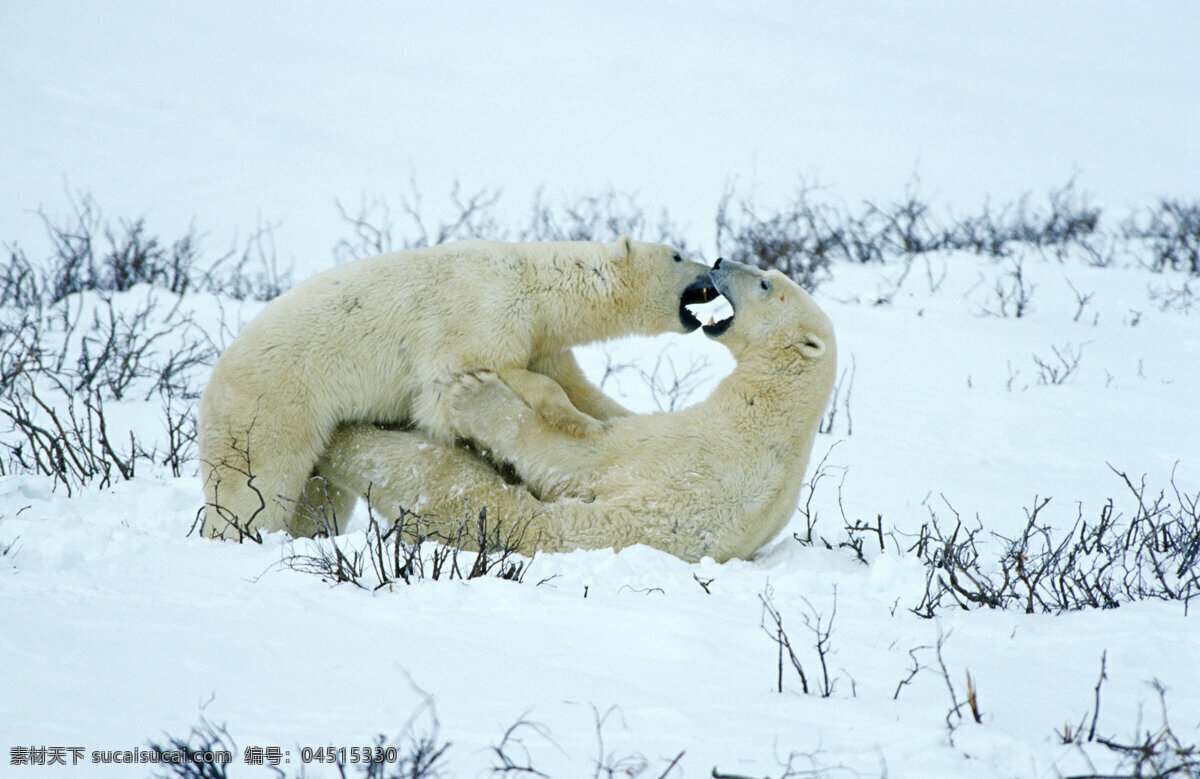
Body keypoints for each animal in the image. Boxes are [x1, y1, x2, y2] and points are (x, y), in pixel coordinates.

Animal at [196, 236, 710, 540]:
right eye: (678, 254)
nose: (711, 270)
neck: (538, 284)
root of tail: (213, 377)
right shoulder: (483, 311)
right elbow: (460, 379)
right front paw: (575, 422)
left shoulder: (542, 339)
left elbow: (576, 384)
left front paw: (605, 420)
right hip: (275, 400)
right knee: (257, 482)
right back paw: (239, 532)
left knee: (320, 496)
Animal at [314, 258, 840, 561]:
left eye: (766, 283)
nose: (720, 260)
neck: (768, 413)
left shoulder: (685, 455)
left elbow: (576, 460)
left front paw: (474, 393)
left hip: (511, 523)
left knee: (435, 475)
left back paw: (349, 438)